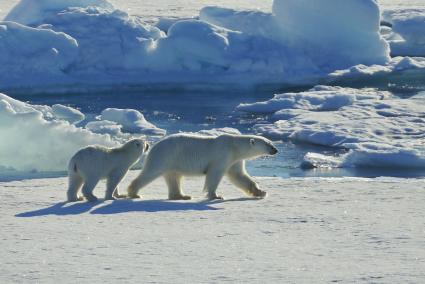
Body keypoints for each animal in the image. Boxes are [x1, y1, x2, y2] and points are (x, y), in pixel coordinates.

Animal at [126, 133, 278, 200]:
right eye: (268, 144)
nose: (276, 150)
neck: (234, 146)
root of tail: (154, 145)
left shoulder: (235, 160)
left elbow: (239, 176)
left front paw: (261, 192)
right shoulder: (222, 155)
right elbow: (214, 174)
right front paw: (216, 195)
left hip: (173, 161)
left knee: (174, 177)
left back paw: (182, 196)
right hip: (165, 156)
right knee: (151, 172)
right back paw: (134, 192)